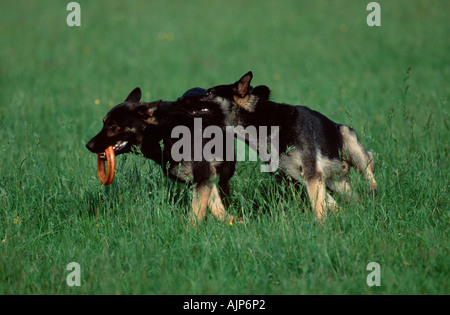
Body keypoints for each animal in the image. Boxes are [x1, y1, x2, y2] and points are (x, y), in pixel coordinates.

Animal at [85, 87, 239, 226]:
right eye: (104, 123)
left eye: (113, 125)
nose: (88, 145)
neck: (161, 131)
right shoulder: (203, 178)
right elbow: (215, 208)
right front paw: (234, 221)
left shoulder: (204, 176)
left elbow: (196, 213)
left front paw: (190, 233)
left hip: (226, 171)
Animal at [187, 71, 380, 220]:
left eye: (209, 93)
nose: (185, 97)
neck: (266, 124)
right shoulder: (298, 176)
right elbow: (323, 202)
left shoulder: (312, 173)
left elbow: (319, 207)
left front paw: (321, 228)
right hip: (333, 181)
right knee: (347, 198)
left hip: (349, 140)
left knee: (369, 168)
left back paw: (372, 193)